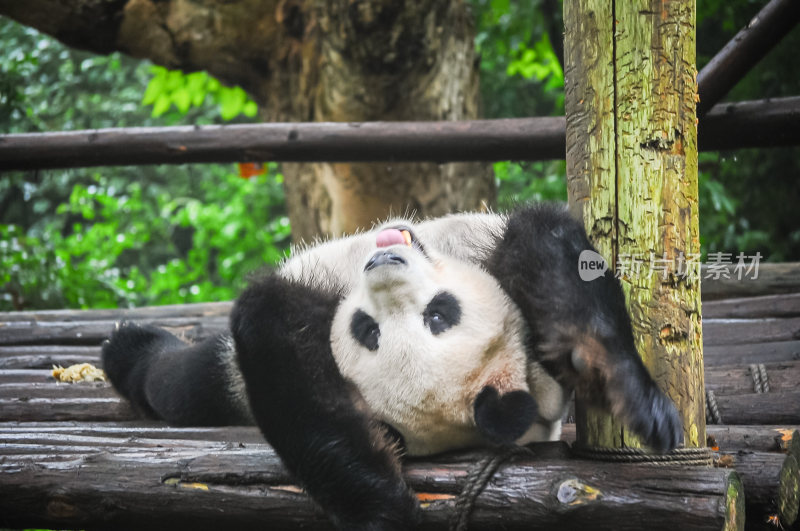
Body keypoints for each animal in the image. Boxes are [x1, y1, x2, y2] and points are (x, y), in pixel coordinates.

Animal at [103, 205, 684, 531]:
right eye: (368, 329)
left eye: (439, 314)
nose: (386, 261)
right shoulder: (312, 299)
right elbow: (297, 385)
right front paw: (384, 509)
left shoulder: (482, 247)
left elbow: (547, 251)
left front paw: (629, 392)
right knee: (184, 381)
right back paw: (127, 349)